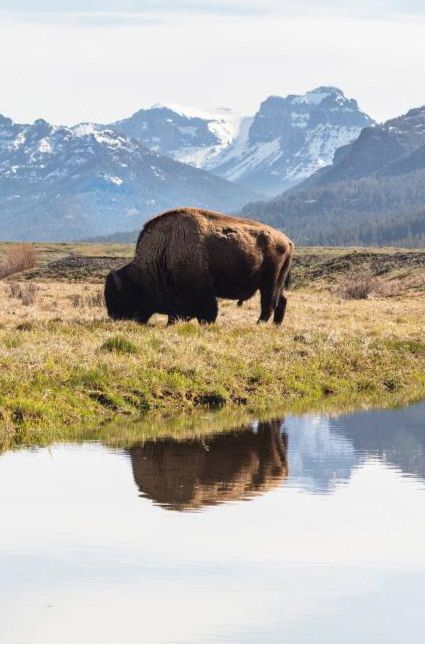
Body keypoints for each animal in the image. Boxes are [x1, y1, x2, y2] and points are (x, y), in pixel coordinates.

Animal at [104, 208, 294, 324]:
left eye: (121, 295)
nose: (114, 317)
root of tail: (287, 240)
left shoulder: (203, 290)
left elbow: (208, 311)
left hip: (269, 283)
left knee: (269, 304)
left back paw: (258, 325)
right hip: (276, 283)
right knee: (281, 301)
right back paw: (275, 326)